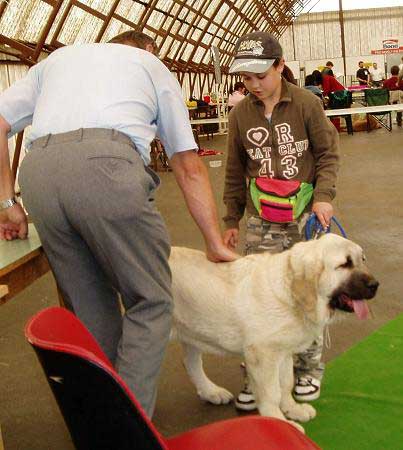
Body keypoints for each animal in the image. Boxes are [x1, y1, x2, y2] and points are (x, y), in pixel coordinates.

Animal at [170, 234, 378, 430]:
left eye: (362, 259)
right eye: (345, 264)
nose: (375, 285)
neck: (290, 293)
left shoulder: (283, 352)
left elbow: (285, 384)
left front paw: (293, 409)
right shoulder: (263, 356)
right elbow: (271, 394)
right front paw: (279, 422)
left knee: (191, 362)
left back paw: (211, 391)